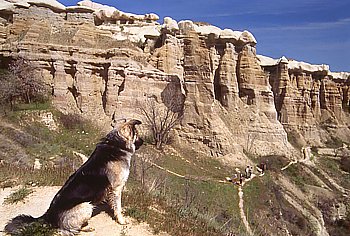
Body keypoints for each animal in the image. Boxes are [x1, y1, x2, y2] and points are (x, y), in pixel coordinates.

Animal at [4, 118, 144, 234]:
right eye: (137, 134)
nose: (143, 141)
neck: (115, 144)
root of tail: (48, 215)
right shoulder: (117, 188)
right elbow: (118, 206)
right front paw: (121, 220)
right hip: (86, 206)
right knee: (69, 229)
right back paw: (86, 227)